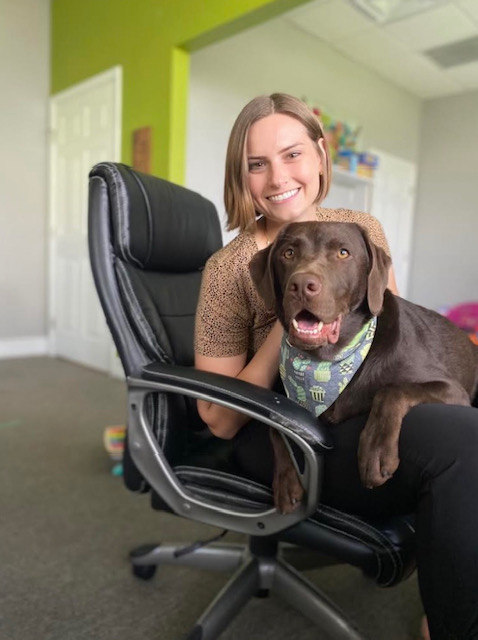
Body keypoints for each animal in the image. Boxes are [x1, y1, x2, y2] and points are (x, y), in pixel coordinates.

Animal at [250, 222, 478, 512]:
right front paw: (287, 480)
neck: (329, 360)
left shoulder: (452, 389)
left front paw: (375, 451)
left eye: (343, 253)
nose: (301, 285)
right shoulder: (281, 395)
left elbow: (392, 390)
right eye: (288, 253)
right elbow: (276, 424)